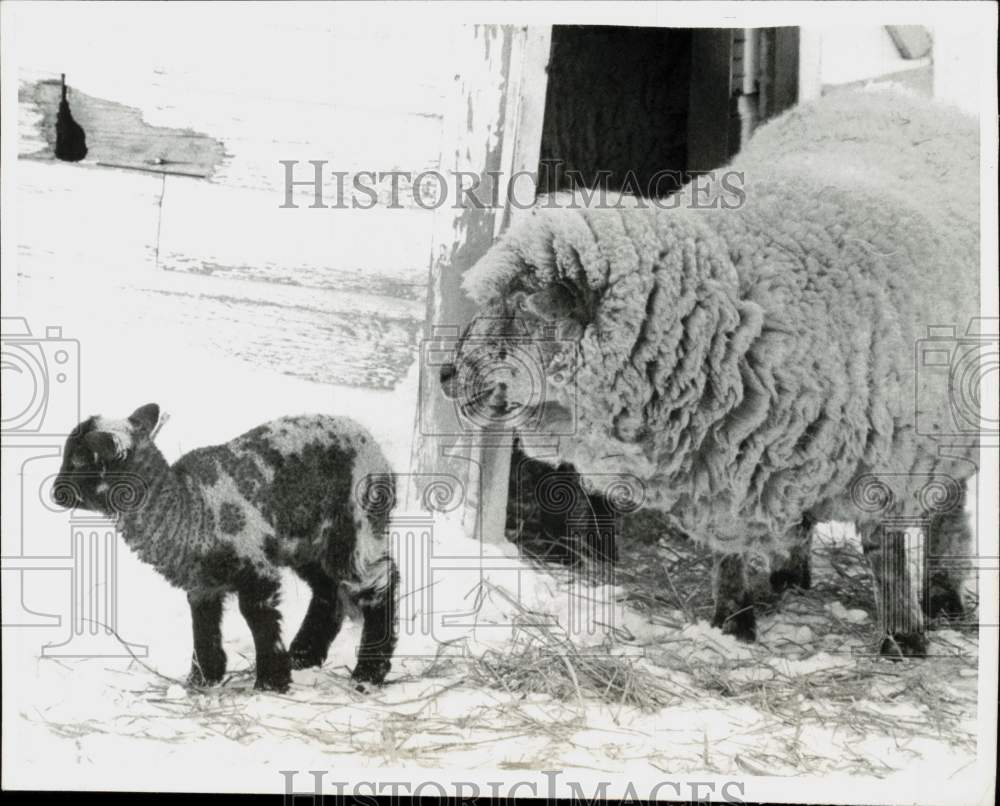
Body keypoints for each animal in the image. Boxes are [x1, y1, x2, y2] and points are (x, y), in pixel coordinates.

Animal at [53, 408, 398, 692]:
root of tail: (374, 446)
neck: (187, 508)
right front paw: (203, 678)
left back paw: (369, 672)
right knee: (327, 591)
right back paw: (304, 654)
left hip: (354, 529)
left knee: (380, 587)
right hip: (309, 542)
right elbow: (203, 625)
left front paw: (271, 682)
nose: (55, 492)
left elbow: (259, 620)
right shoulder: (203, 584)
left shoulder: (255, 567)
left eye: (78, 462)